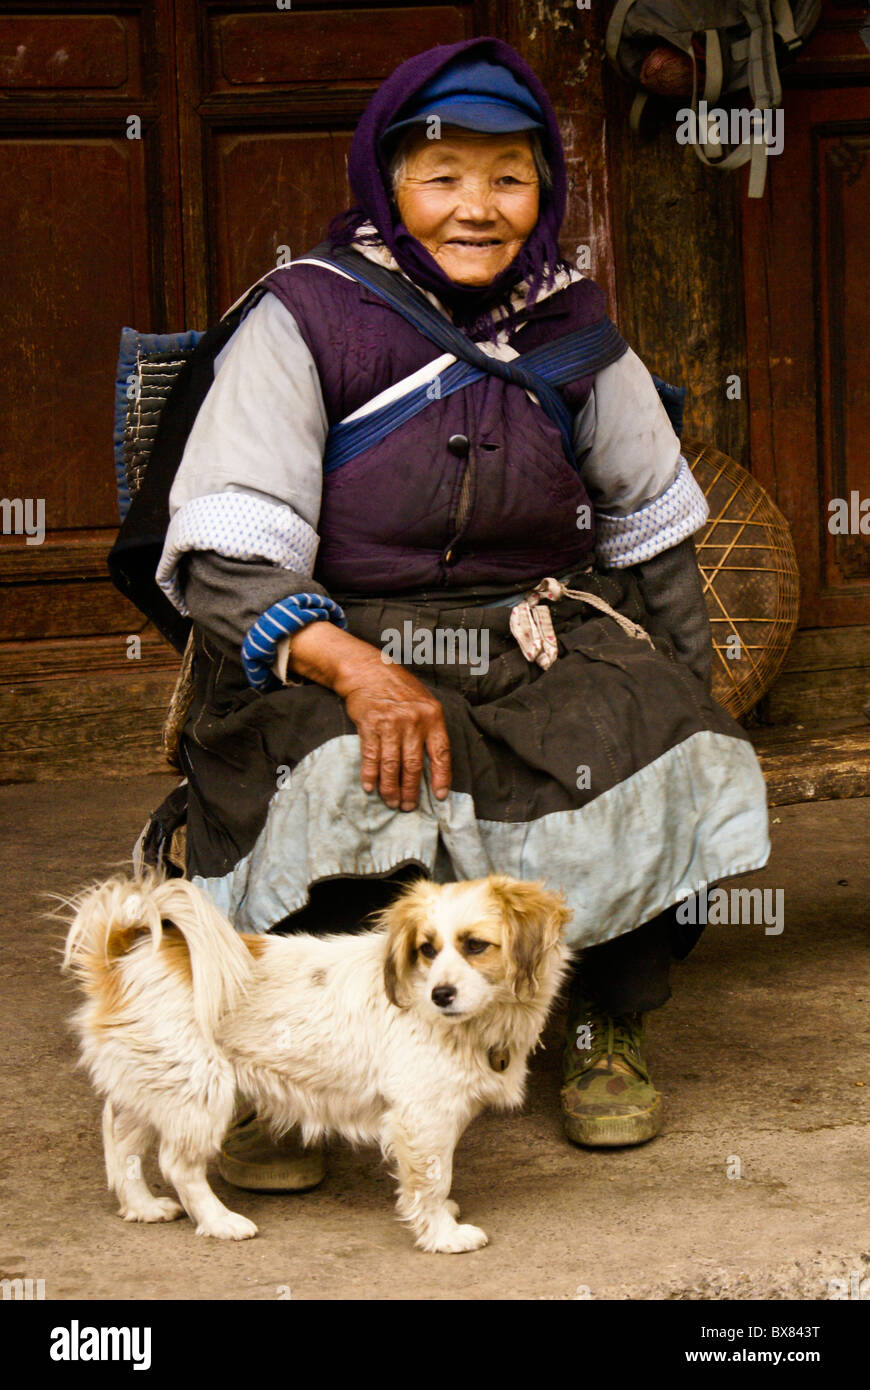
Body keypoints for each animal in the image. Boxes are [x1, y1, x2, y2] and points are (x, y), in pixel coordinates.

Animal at [64, 872, 572, 1256]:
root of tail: (124, 953)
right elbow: (432, 1177)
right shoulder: (422, 1116)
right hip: (200, 1091)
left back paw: (143, 1207)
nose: (440, 994)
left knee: (121, 1143)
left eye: (476, 945)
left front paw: (440, 1216)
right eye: (427, 949)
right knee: (178, 1165)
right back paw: (221, 1221)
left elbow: (436, 1176)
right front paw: (442, 1235)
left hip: (157, 1083)